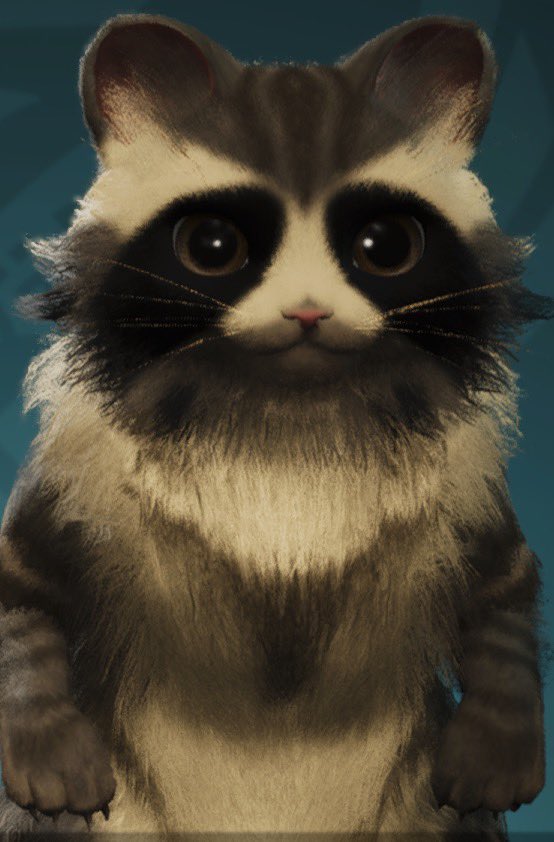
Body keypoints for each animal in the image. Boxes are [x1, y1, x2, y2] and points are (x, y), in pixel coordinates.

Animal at [0, 12, 551, 840]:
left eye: (385, 246)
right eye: (212, 246)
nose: (307, 313)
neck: (289, 416)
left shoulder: (467, 484)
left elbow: (503, 594)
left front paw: (498, 744)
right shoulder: (76, 477)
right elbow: (22, 588)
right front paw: (46, 747)